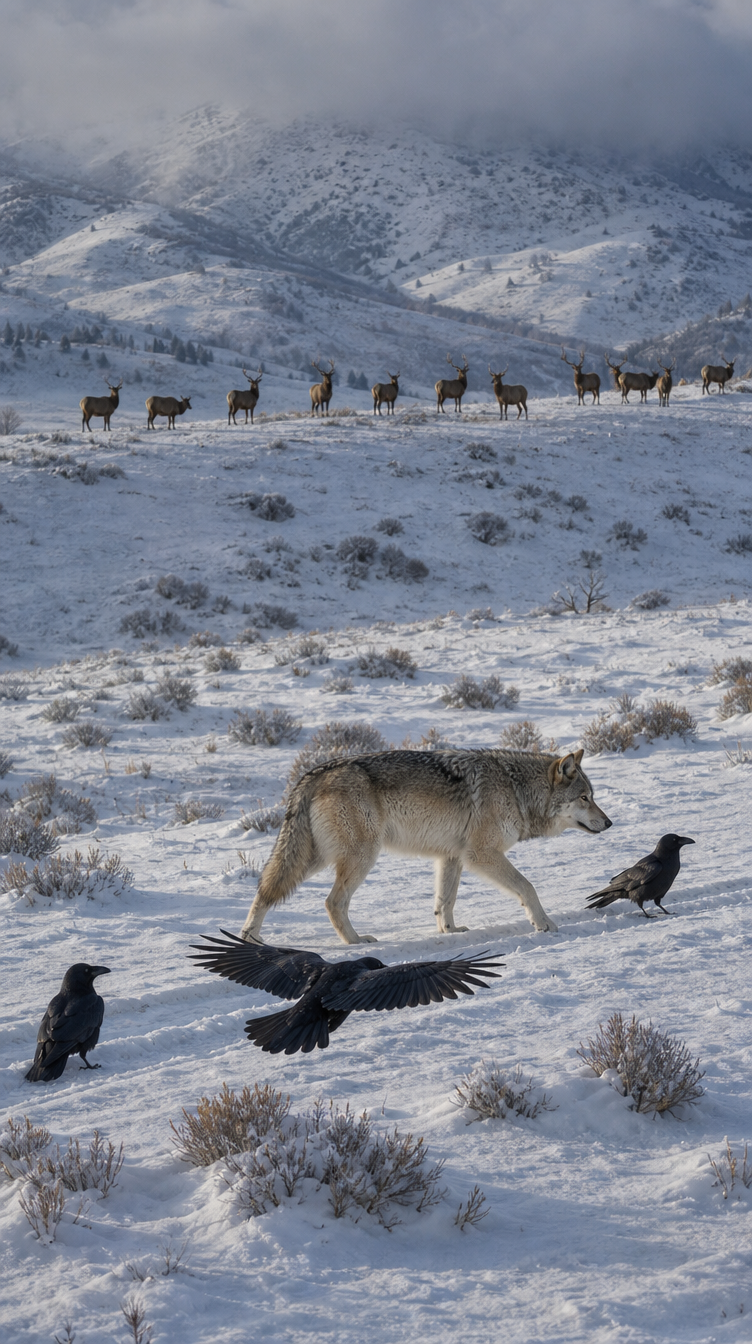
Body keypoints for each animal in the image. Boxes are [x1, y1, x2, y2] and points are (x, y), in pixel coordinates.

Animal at [240, 748, 612, 944]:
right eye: (585, 798)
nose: (609, 823)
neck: (517, 788)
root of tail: (312, 773)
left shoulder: (452, 857)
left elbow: (444, 901)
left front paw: (450, 931)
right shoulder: (481, 855)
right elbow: (528, 886)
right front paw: (543, 923)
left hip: (314, 857)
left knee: (264, 889)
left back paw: (250, 937)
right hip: (360, 856)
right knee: (332, 902)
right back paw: (355, 942)